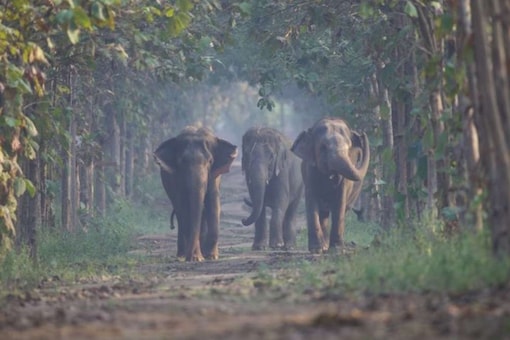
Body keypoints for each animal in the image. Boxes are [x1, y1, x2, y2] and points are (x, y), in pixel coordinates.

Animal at [153, 126, 237, 262]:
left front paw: (211, 256)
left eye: (210, 161)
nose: (192, 255)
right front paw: (196, 258)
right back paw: (182, 255)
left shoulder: (214, 176)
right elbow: (184, 207)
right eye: (181, 162)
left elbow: (213, 203)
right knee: (181, 214)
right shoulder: (176, 179)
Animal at [290, 117, 370, 252]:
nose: (362, 134)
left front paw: (336, 249)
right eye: (323, 147)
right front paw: (316, 249)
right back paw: (324, 246)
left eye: (349, 147)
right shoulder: (310, 171)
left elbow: (340, 201)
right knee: (323, 213)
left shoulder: (344, 181)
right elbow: (311, 200)